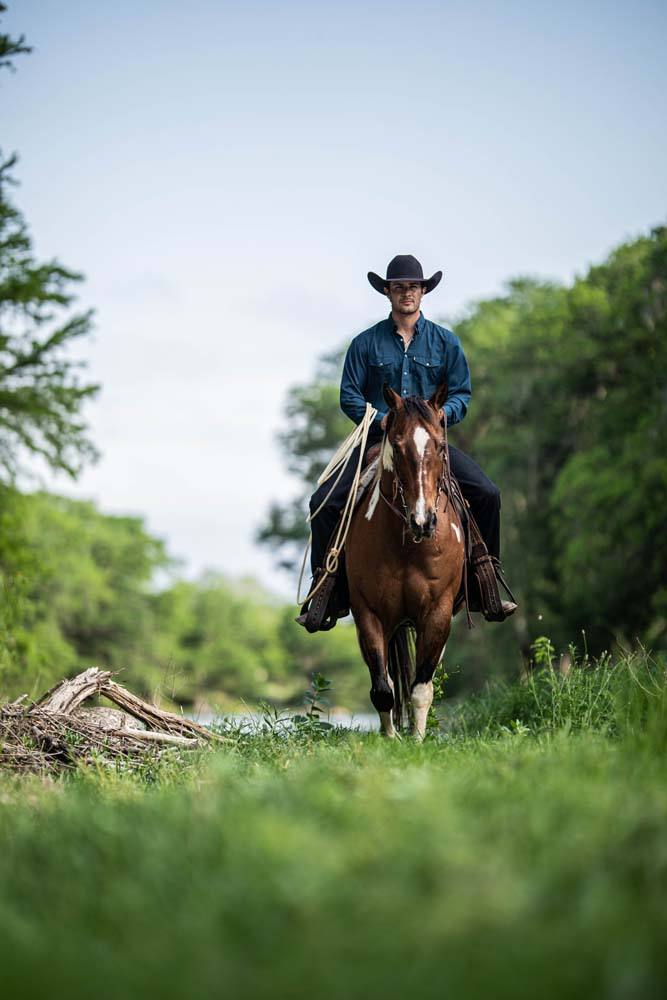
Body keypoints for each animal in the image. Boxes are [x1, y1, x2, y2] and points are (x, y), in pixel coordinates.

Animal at [344, 382, 464, 744]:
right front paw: (392, 737)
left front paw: (418, 739)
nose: (423, 521)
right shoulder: (368, 613)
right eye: (397, 447)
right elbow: (383, 688)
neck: (407, 547)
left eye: (440, 445)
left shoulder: (438, 613)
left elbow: (421, 688)